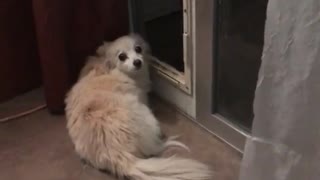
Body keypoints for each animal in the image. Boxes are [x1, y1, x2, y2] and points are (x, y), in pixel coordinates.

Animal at [64, 34, 211, 179]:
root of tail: (120, 156)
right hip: (146, 115)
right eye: (122, 56)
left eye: (138, 49)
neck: (109, 67)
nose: (137, 62)